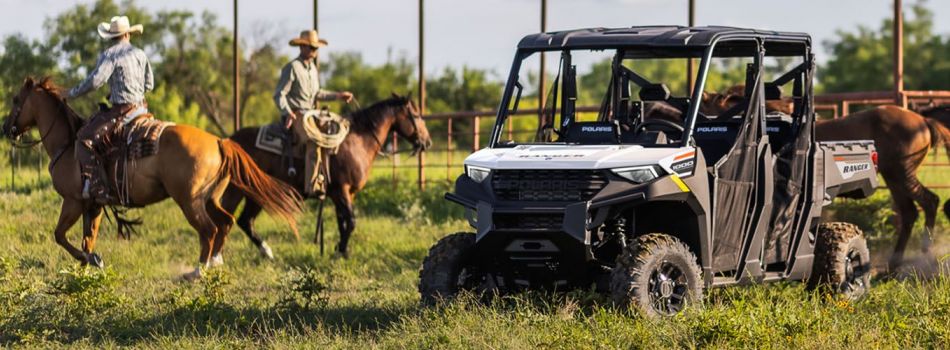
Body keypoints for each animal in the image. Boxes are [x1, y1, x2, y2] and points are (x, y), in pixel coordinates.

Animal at [1, 78, 304, 280]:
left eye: (16, 100)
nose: (7, 128)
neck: (68, 143)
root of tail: (219, 141)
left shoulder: (73, 201)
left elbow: (60, 235)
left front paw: (89, 261)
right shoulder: (93, 205)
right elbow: (88, 239)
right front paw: (89, 265)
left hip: (189, 201)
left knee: (208, 230)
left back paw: (198, 270)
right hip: (211, 198)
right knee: (226, 222)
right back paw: (215, 263)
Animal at [221, 94, 434, 258]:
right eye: (416, 116)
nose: (427, 142)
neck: (358, 141)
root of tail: (230, 140)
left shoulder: (345, 193)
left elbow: (343, 222)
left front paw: (342, 251)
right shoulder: (342, 190)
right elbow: (351, 221)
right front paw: (340, 251)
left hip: (254, 192)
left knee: (243, 220)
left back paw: (264, 252)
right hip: (238, 191)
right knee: (228, 217)